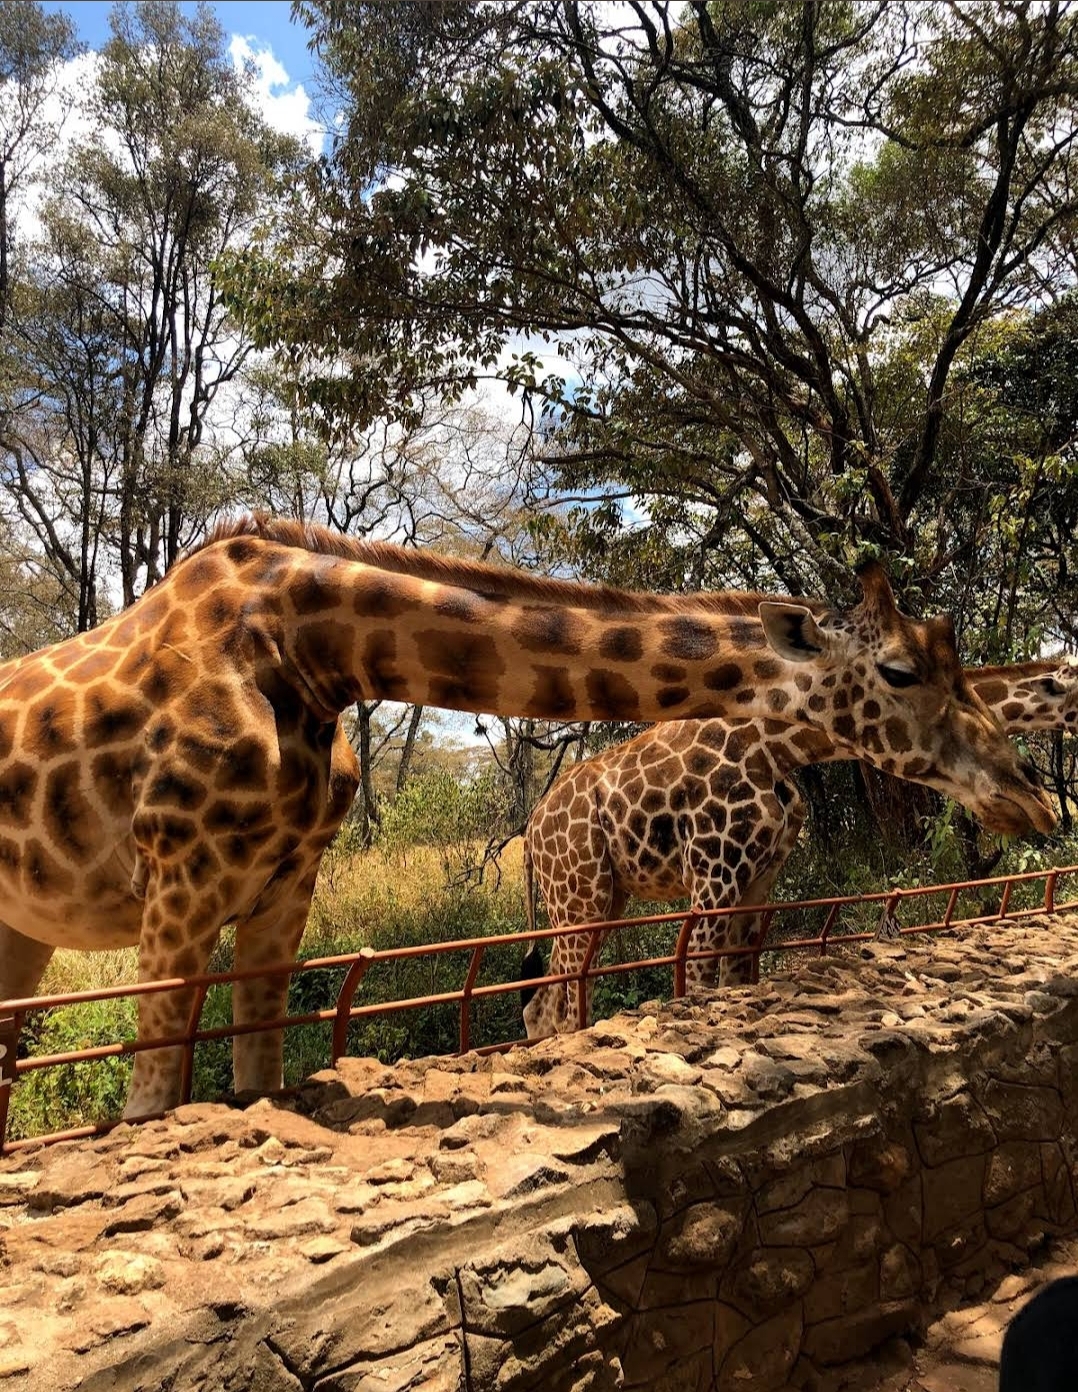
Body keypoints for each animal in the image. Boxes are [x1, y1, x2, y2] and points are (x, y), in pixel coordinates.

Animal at [522, 661, 1078, 1039]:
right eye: (1058, 685)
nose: (1040, 802)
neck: (779, 748)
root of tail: (530, 832)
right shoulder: (712, 873)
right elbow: (700, 985)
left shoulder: (758, 877)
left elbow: (735, 979)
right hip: (579, 893)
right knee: (563, 1003)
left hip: (601, 898)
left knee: (545, 1003)